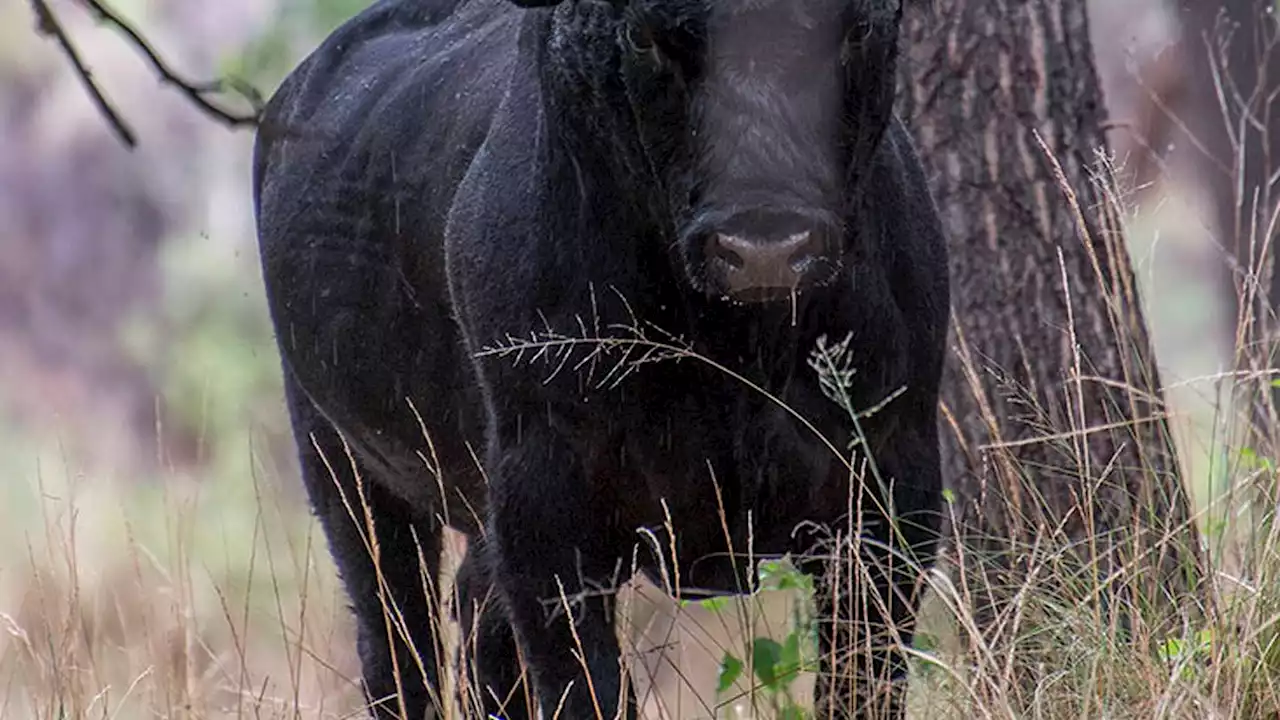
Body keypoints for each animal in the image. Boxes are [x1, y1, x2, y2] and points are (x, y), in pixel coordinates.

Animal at [252, 0, 952, 712]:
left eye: (859, 27)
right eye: (645, 37)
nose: (765, 246)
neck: (731, 354)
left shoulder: (889, 499)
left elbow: (861, 683)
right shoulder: (548, 521)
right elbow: (587, 687)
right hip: (345, 472)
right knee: (398, 647)